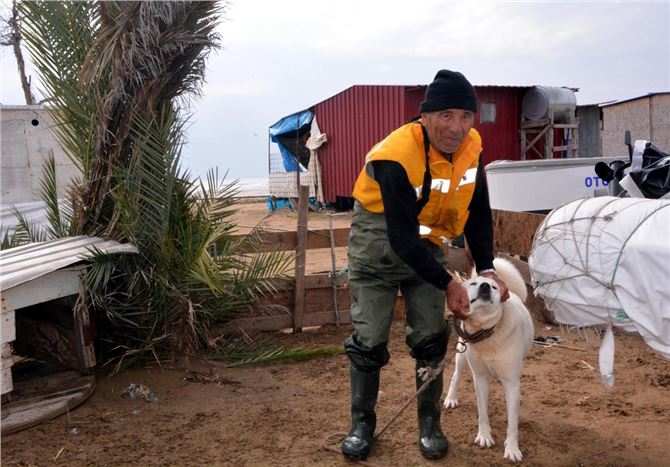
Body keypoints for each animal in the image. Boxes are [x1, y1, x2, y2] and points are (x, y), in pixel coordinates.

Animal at [446, 258, 536, 462]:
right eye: (473, 284)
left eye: (494, 287)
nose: (485, 286)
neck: (487, 332)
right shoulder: (479, 378)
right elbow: (482, 413)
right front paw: (484, 436)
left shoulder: (511, 382)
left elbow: (513, 423)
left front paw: (512, 449)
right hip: (461, 354)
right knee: (455, 376)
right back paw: (450, 399)